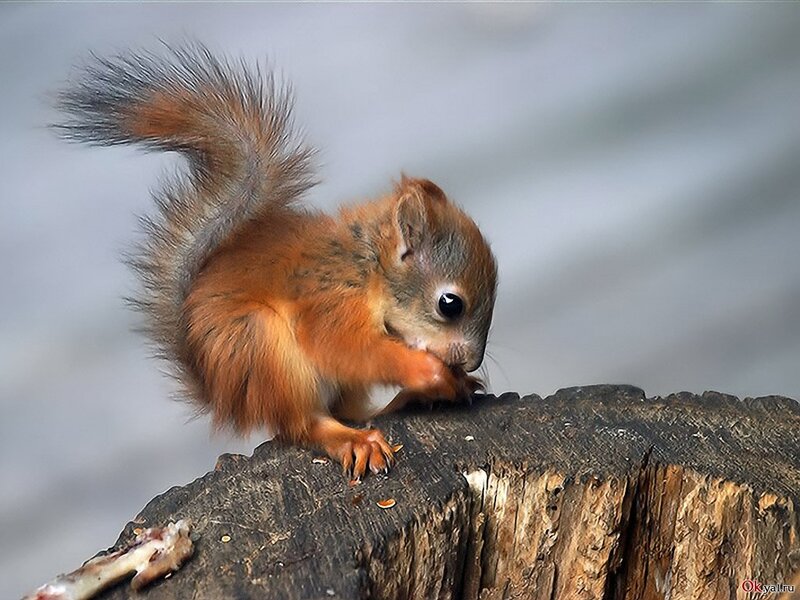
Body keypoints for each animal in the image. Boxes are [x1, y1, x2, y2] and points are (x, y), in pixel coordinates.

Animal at [56, 44, 498, 479]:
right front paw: (429, 371)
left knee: (352, 410)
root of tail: (226, 397)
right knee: (303, 425)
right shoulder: (328, 301)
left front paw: (455, 380)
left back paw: (406, 402)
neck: (369, 268)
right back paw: (355, 439)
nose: (471, 360)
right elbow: (346, 348)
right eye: (450, 304)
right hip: (262, 347)